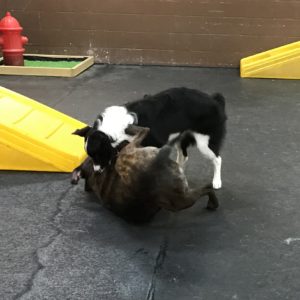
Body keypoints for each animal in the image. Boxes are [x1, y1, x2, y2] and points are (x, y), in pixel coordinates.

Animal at [71, 125, 219, 223]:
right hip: (182, 201)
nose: (98, 170)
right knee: (207, 189)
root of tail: (155, 164)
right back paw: (213, 201)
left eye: (95, 156)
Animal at [84, 87, 225, 188]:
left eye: (98, 155)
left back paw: (217, 182)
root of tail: (214, 99)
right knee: (183, 156)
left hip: (205, 142)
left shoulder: (153, 145)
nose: (96, 171)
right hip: (181, 137)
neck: (115, 129)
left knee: (218, 159)